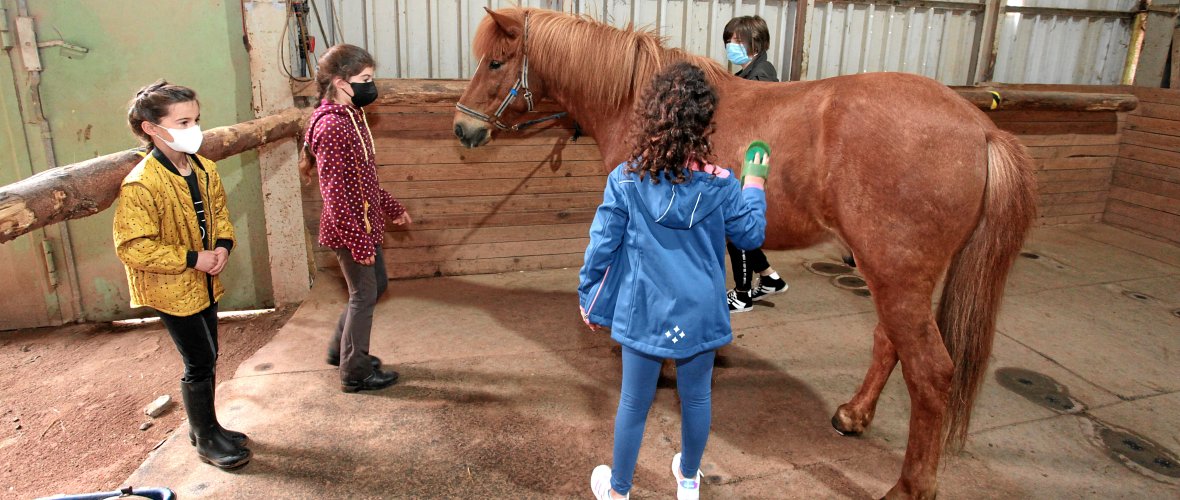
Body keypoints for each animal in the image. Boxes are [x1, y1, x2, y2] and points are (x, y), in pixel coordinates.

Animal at [450, 7, 1033, 499]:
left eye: (496, 61)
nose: (463, 127)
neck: (641, 101)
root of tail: (981, 129)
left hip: (896, 276)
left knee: (931, 374)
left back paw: (910, 486)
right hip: (895, 276)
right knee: (889, 343)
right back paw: (853, 415)